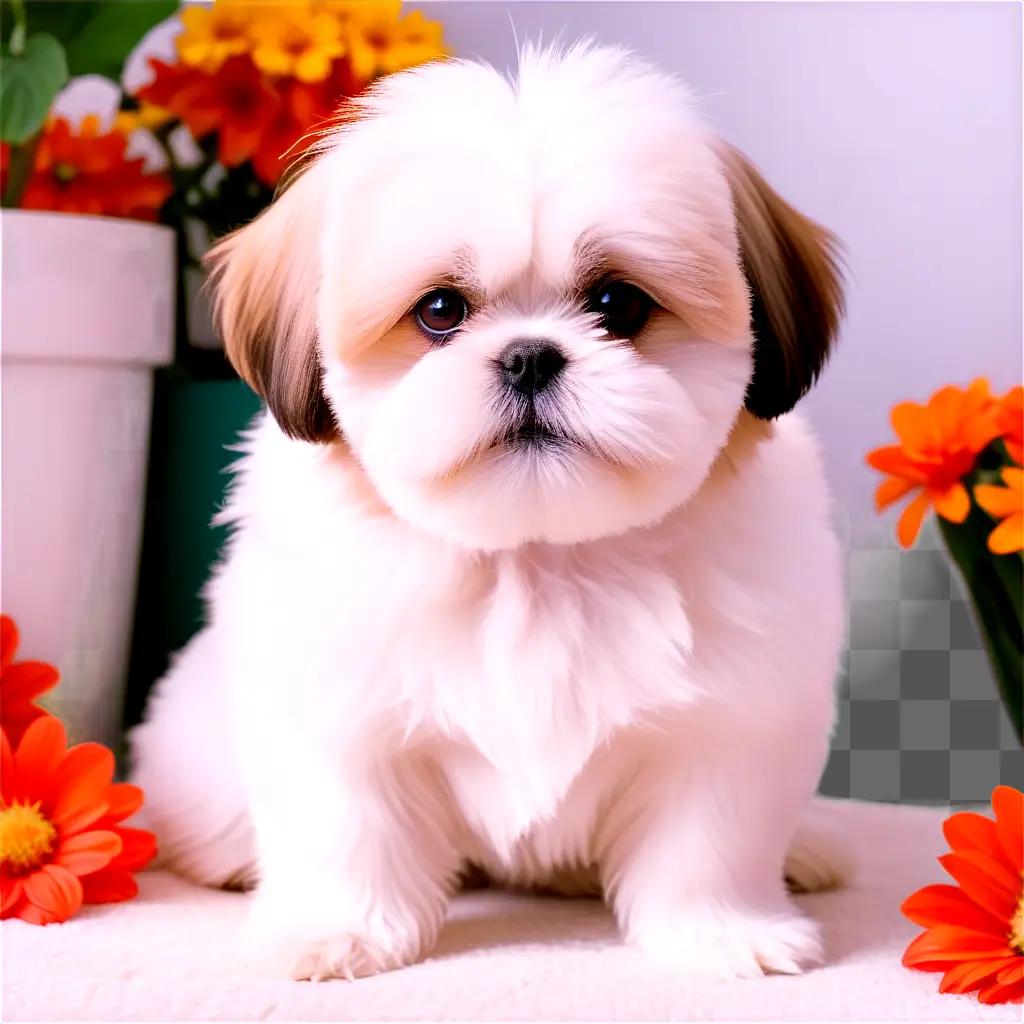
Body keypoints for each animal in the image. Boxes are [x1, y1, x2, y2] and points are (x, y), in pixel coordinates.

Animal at [130, 44, 847, 978]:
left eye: (619, 304)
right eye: (441, 311)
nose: (531, 356)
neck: (534, 560)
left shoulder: (734, 723)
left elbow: (709, 842)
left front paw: (725, 931)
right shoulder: (337, 712)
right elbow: (348, 828)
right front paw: (335, 930)